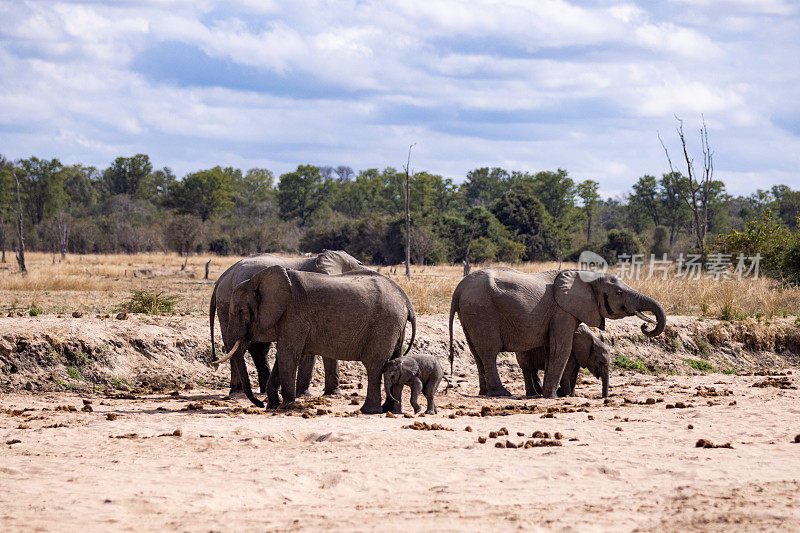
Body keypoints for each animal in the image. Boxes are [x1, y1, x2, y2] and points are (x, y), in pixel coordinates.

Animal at [209, 247, 366, 392]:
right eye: (360, 264)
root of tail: (222, 278)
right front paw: (323, 393)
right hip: (227, 305)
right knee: (239, 346)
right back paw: (238, 391)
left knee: (257, 347)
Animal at [211, 268, 418, 414]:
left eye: (240, 310)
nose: (259, 404)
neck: (258, 279)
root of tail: (406, 300)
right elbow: (283, 357)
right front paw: (273, 406)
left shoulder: (294, 315)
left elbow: (288, 355)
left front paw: (286, 406)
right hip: (394, 326)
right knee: (392, 362)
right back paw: (390, 410)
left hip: (384, 324)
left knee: (374, 365)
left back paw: (368, 411)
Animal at [446, 268, 664, 396]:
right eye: (619, 293)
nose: (645, 326)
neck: (585, 277)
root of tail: (459, 288)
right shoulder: (562, 312)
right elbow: (561, 349)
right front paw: (551, 397)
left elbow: (553, 350)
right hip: (482, 311)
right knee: (489, 352)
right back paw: (501, 393)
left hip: (470, 313)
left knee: (477, 353)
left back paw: (485, 393)